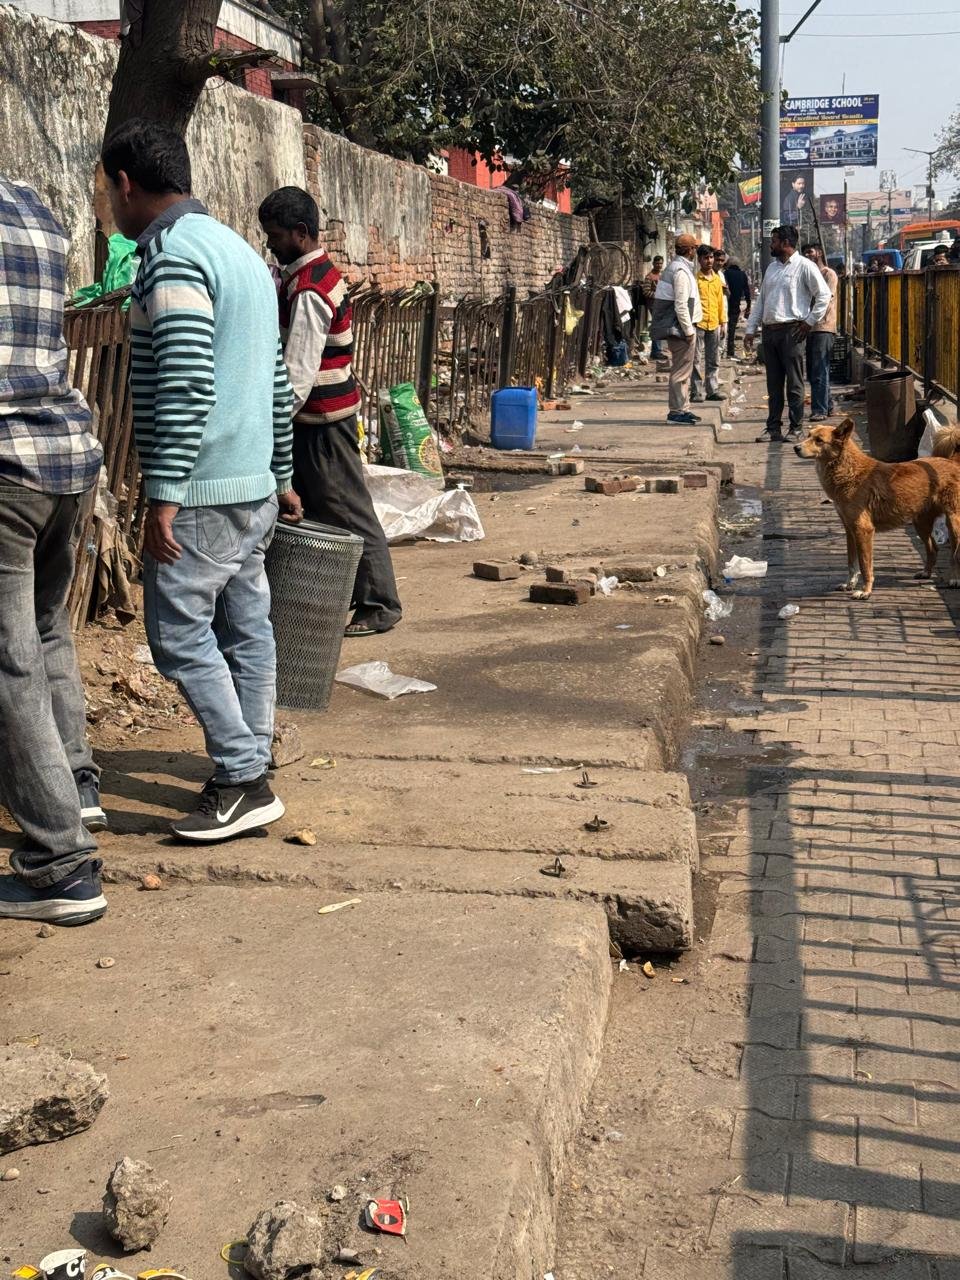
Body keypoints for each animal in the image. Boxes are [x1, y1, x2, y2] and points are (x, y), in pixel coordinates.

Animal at [795, 417, 960, 599]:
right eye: (808, 435)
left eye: (819, 440)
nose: (796, 447)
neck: (849, 471)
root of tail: (953, 461)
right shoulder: (849, 529)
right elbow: (851, 562)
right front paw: (849, 584)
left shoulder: (863, 530)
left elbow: (864, 564)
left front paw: (865, 591)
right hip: (921, 523)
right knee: (933, 548)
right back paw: (926, 573)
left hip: (953, 522)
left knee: (955, 553)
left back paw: (954, 579)